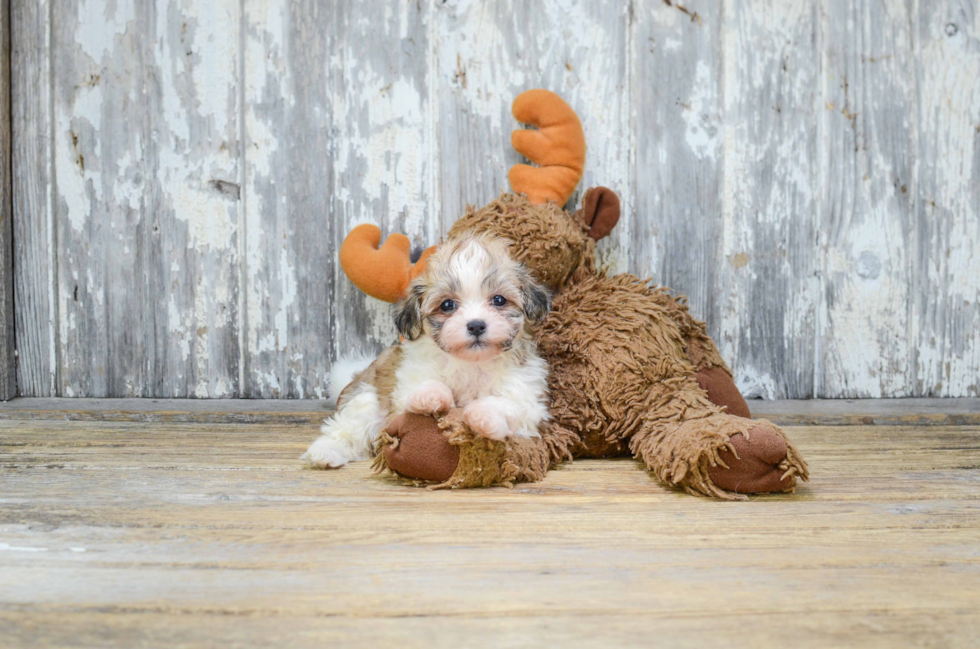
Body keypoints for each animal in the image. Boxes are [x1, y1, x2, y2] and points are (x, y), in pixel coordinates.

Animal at [300, 235, 552, 468]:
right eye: (448, 305)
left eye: (499, 300)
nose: (476, 325)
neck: (471, 362)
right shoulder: (406, 381)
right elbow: (420, 386)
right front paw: (431, 396)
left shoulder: (526, 398)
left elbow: (509, 405)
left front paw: (484, 416)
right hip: (367, 399)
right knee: (347, 429)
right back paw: (325, 452)